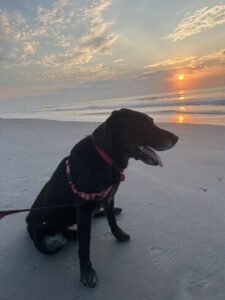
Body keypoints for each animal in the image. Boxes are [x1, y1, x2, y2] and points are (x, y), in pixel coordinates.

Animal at [25, 109, 178, 288]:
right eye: (145, 124)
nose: (176, 138)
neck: (105, 157)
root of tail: (27, 221)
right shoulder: (83, 209)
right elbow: (84, 246)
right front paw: (87, 273)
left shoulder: (109, 196)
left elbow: (112, 220)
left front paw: (119, 234)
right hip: (46, 237)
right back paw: (71, 233)